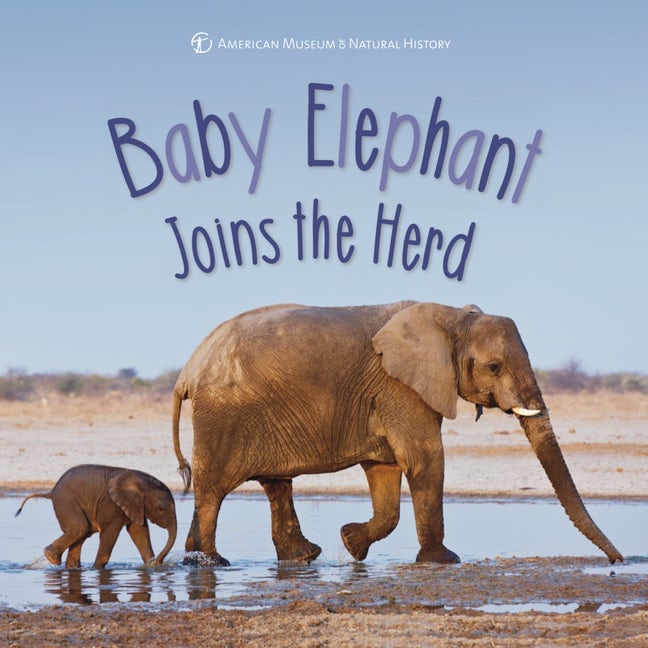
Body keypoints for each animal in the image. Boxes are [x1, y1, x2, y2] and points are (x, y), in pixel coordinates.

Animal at [15, 464, 177, 568]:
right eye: (160, 509)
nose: (159, 562)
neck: (140, 483)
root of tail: (51, 491)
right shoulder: (111, 505)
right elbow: (110, 534)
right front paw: (97, 569)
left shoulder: (135, 506)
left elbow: (138, 531)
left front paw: (151, 566)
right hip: (66, 502)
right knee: (79, 528)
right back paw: (52, 559)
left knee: (82, 533)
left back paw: (71, 568)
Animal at [172, 301, 623, 566]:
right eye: (494, 367)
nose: (618, 560)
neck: (453, 317)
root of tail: (187, 371)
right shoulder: (400, 387)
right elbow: (425, 458)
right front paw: (443, 561)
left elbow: (385, 468)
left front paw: (352, 543)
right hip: (223, 416)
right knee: (213, 490)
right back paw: (212, 563)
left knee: (275, 484)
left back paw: (300, 557)